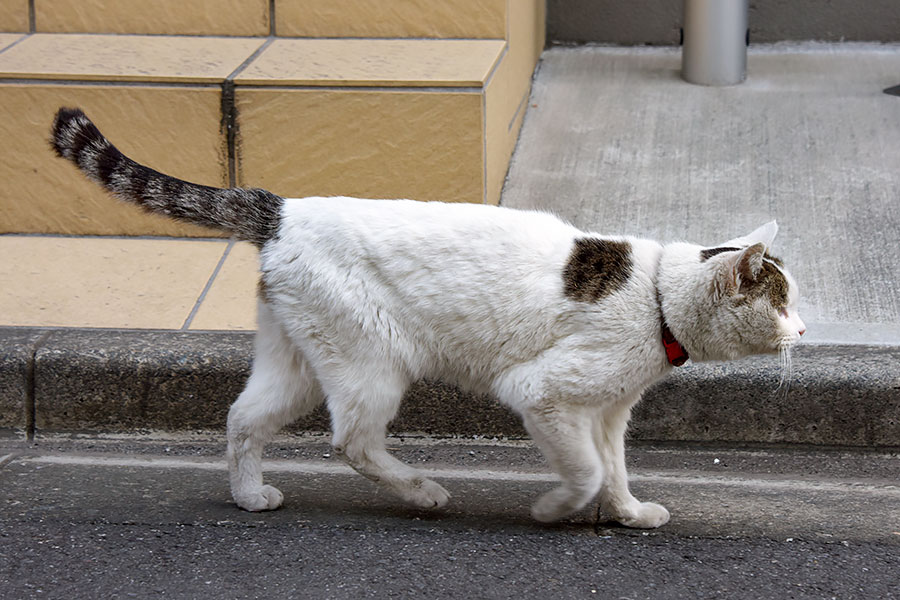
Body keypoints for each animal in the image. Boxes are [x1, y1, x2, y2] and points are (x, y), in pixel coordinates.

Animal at [52, 105, 804, 528]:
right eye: (784, 300)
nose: (804, 329)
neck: (655, 298)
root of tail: (285, 209)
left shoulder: (607, 412)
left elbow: (613, 471)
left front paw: (627, 515)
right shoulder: (543, 393)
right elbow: (587, 471)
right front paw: (554, 511)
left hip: (296, 362)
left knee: (243, 419)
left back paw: (249, 496)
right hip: (370, 364)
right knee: (352, 442)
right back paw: (422, 493)